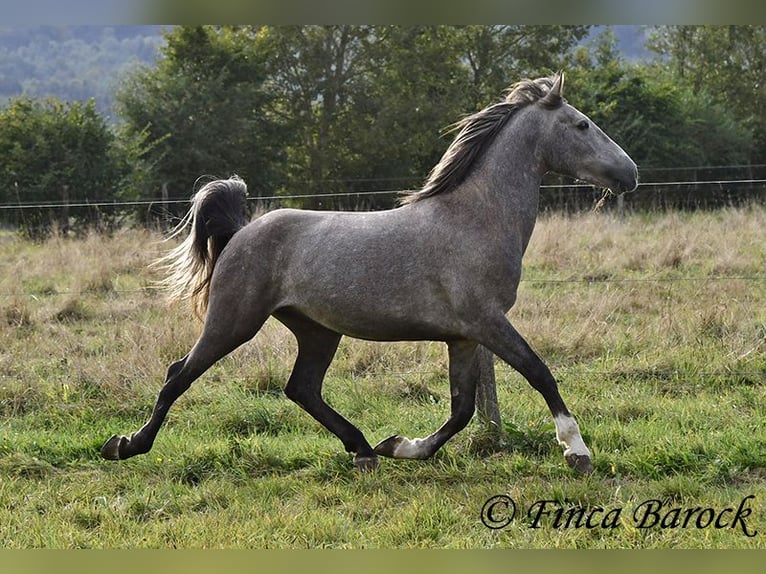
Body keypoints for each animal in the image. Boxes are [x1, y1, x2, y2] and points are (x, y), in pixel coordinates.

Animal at [103, 73, 640, 476]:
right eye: (581, 124)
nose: (630, 174)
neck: (474, 220)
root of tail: (241, 231)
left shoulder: (463, 336)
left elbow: (462, 408)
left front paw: (401, 446)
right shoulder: (487, 322)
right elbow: (539, 373)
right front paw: (577, 451)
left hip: (316, 330)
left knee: (302, 388)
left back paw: (363, 449)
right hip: (234, 321)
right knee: (178, 374)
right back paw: (126, 445)